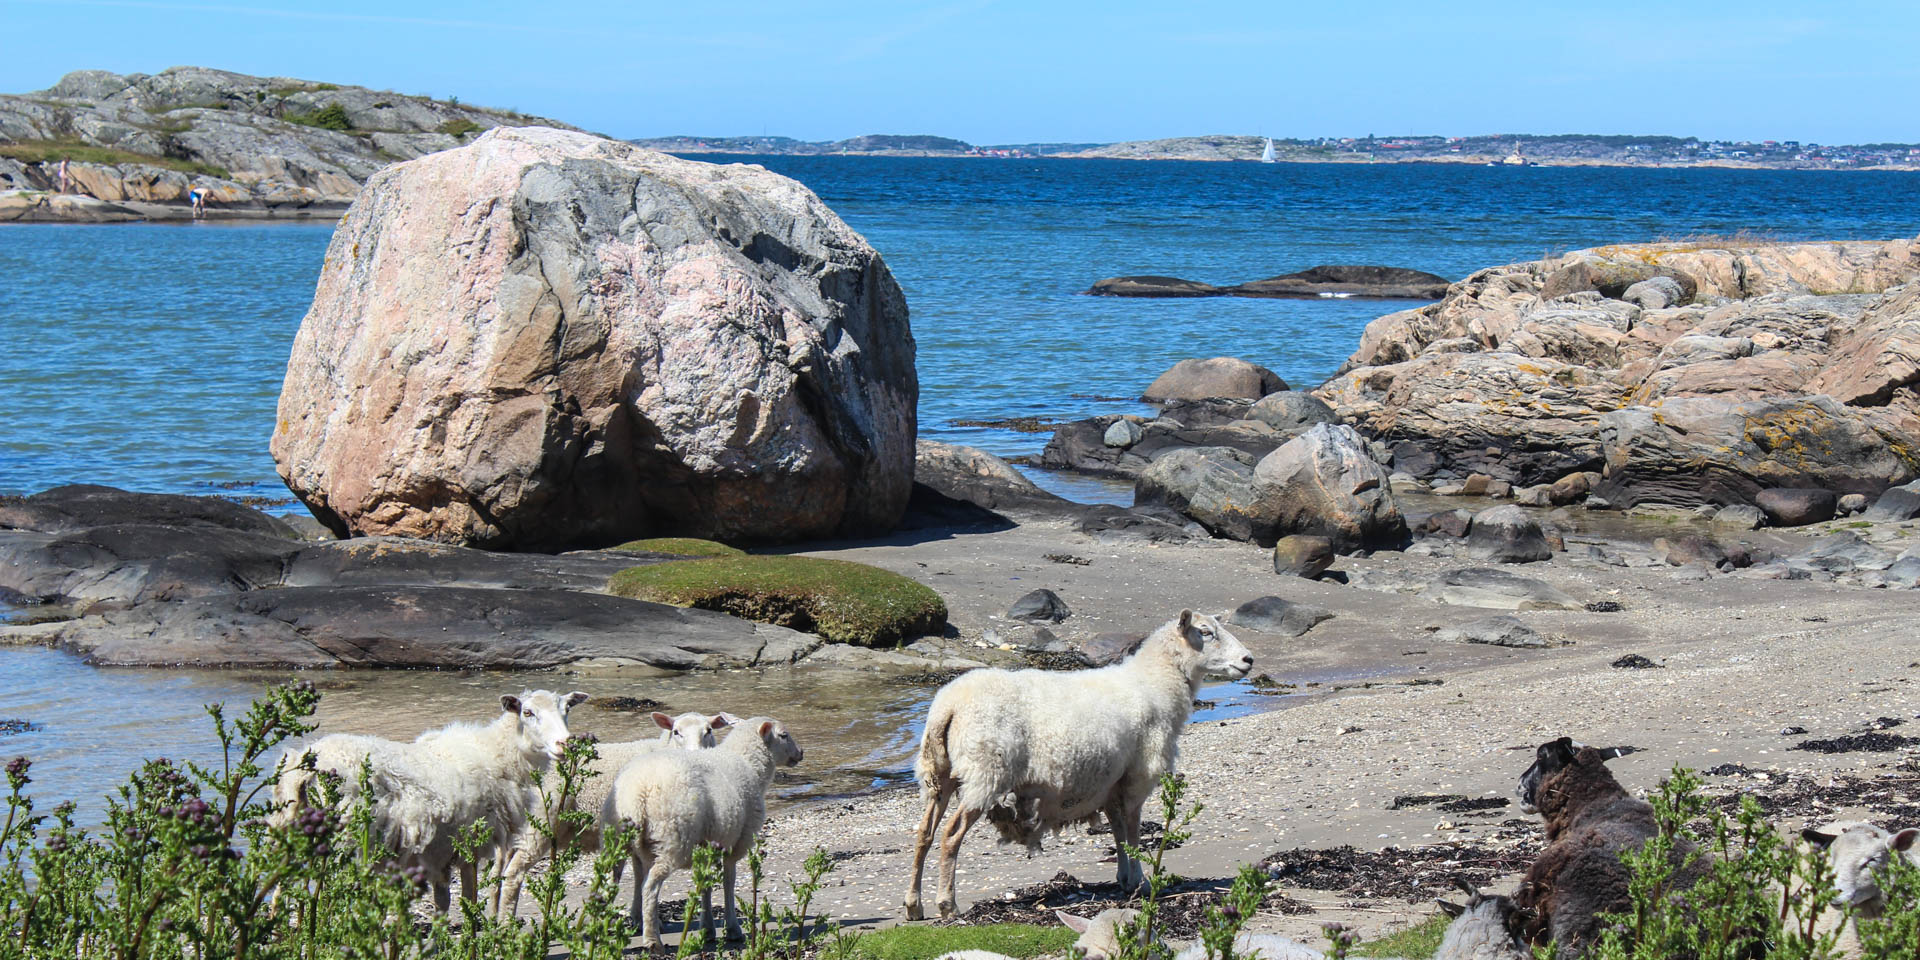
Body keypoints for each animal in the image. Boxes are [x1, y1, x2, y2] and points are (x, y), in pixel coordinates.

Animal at [270, 687, 583, 910]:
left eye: (567, 709)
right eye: (527, 712)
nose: (565, 744)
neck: (499, 754)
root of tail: (303, 766)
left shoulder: (438, 853)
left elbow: (443, 902)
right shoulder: (469, 843)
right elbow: (468, 898)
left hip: (292, 829)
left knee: (279, 890)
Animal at [491, 710, 729, 917]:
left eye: (708, 731)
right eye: (676, 732)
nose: (695, 755)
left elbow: (638, 873)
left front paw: (636, 915)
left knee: (497, 874)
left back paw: (495, 921)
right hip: (540, 824)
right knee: (513, 873)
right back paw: (506, 923)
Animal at [606, 714, 802, 944]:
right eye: (784, 735)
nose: (800, 753)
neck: (748, 763)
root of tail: (637, 794)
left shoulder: (710, 844)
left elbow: (705, 884)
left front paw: (707, 928)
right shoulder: (736, 842)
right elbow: (728, 881)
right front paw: (732, 928)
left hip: (623, 843)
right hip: (673, 838)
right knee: (650, 885)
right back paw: (653, 941)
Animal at [902, 610, 1251, 917]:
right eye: (1205, 632)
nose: (1249, 660)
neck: (1156, 682)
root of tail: (948, 705)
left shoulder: (1111, 782)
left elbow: (1118, 831)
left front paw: (1125, 879)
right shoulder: (1138, 775)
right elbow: (1133, 831)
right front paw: (1141, 882)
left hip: (939, 774)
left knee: (924, 834)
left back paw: (913, 906)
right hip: (985, 772)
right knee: (950, 836)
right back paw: (947, 905)